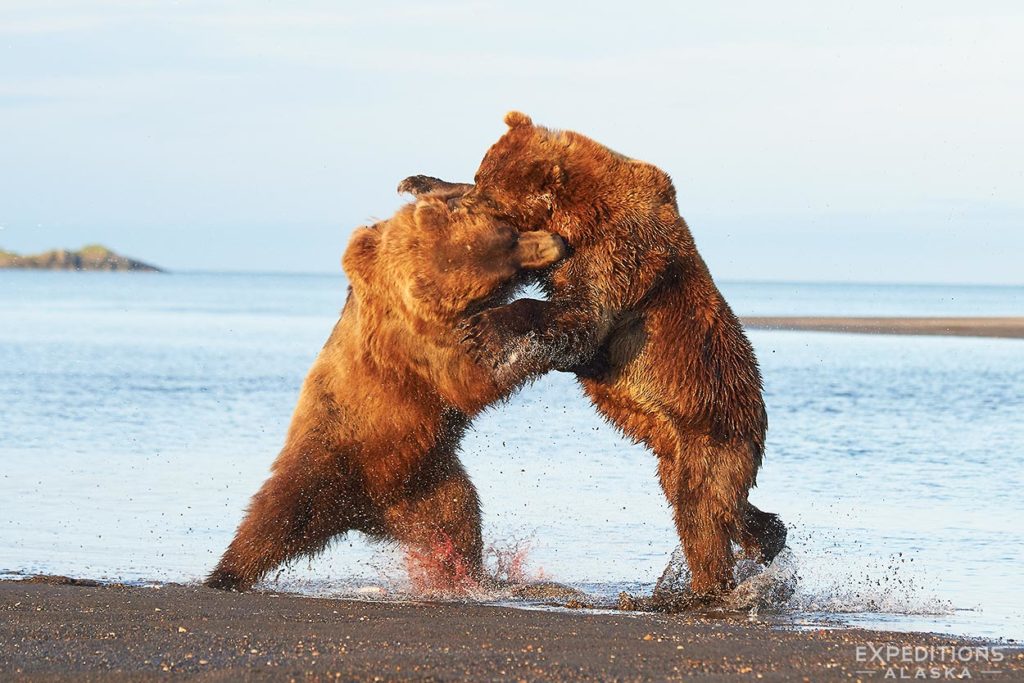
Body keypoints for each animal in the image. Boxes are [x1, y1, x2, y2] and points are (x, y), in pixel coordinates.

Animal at [202, 193, 565, 593]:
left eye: (509, 231)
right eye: (510, 241)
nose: (556, 242)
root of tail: (364, 514)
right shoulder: (414, 342)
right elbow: (470, 379)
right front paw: (544, 349)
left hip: (428, 482)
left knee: (459, 519)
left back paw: (468, 574)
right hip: (326, 458)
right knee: (273, 518)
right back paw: (224, 574)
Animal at [397, 111, 782, 598]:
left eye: (492, 192)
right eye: (480, 176)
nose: (467, 210)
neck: (577, 215)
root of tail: (758, 418)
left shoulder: (617, 253)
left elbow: (580, 321)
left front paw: (485, 325)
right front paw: (419, 181)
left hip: (710, 433)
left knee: (703, 514)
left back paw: (696, 589)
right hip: (678, 453)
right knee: (725, 510)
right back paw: (768, 540)